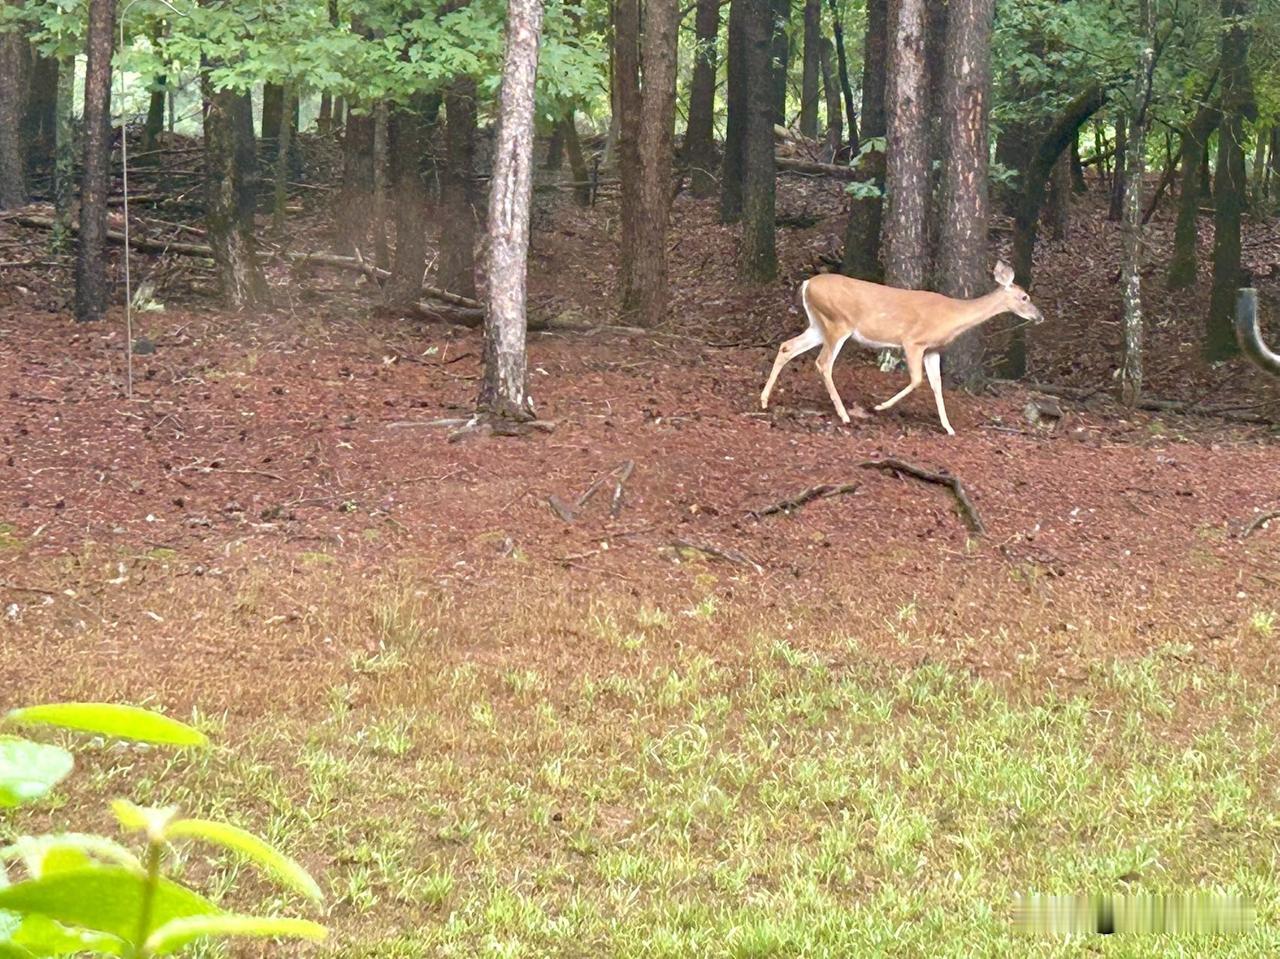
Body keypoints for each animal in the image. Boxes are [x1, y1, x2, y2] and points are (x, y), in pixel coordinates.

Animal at [760, 262, 1045, 435]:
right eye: (1025, 297)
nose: (1040, 316)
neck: (952, 316)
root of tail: (807, 283)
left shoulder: (933, 350)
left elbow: (936, 385)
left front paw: (948, 427)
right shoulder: (913, 341)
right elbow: (917, 380)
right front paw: (880, 407)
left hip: (819, 324)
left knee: (787, 347)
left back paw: (764, 400)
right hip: (838, 322)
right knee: (823, 363)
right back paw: (844, 415)